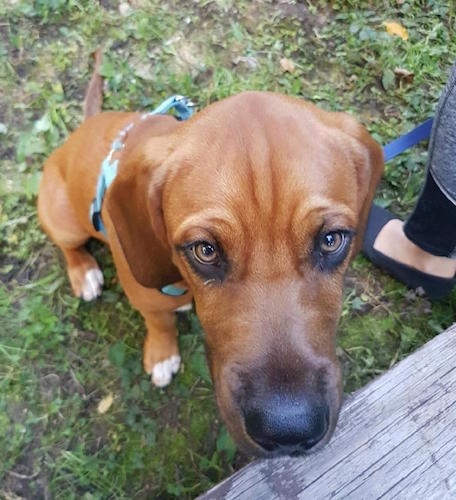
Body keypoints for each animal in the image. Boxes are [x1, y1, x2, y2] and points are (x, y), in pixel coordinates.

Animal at [38, 54, 382, 458]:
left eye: (331, 240)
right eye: (205, 250)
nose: (289, 431)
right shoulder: (146, 297)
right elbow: (160, 323)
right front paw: (162, 354)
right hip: (64, 221)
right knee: (69, 246)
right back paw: (84, 271)